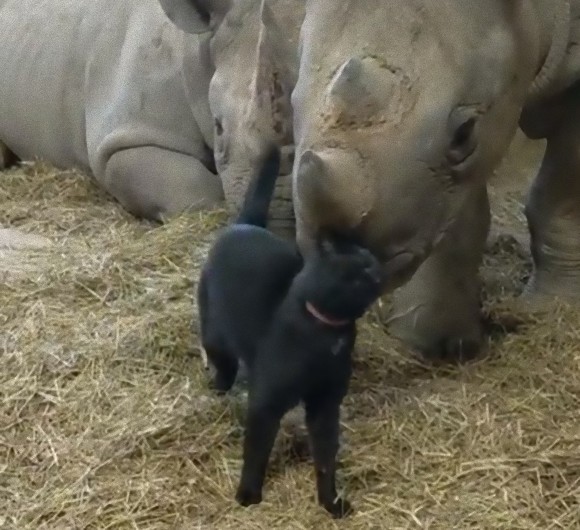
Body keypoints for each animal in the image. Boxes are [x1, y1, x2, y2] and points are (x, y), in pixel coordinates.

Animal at [196, 143, 386, 516]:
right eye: (361, 267)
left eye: (370, 263)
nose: (378, 271)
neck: (327, 333)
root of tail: (244, 226)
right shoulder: (266, 402)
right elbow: (256, 451)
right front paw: (248, 494)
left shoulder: (326, 403)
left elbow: (326, 458)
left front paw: (331, 502)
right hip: (214, 333)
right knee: (223, 364)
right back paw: (219, 389)